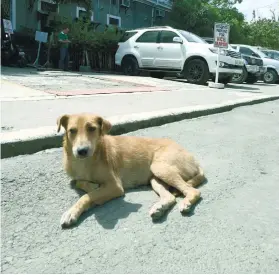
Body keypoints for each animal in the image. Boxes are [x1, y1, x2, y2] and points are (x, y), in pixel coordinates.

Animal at [57, 113, 206, 227]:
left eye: (92, 128)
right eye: (72, 130)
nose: (82, 151)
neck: (85, 162)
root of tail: (194, 159)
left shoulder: (115, 186)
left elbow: (87, 196)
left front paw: (72, 212)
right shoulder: (77, 177)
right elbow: (77, 182)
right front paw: (91, 186)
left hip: (160, 167)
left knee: (193, 191)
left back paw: (186, 202)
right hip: (155, 178)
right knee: (170, 197)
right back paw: (160, 208)